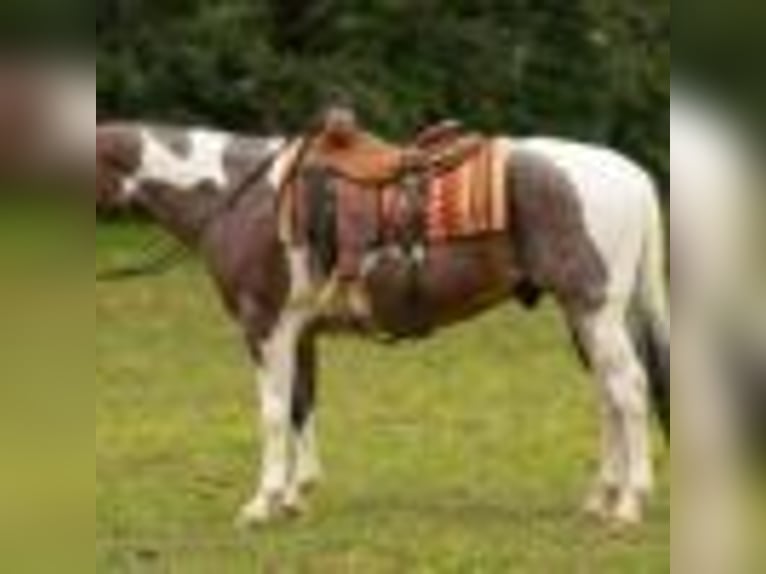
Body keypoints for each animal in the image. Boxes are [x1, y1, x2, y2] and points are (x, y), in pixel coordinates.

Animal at [96, 118, 669, 529]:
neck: (238, 195)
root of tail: (633, 176)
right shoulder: (299, 332)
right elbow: (302, 406)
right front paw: (297, 495)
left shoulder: (265, 325)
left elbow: (274, 413)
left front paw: (263, 503)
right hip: (585, 315)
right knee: (608, 397)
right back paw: (601, 499)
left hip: (595, 310)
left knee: (629, 390)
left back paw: (630, 505)